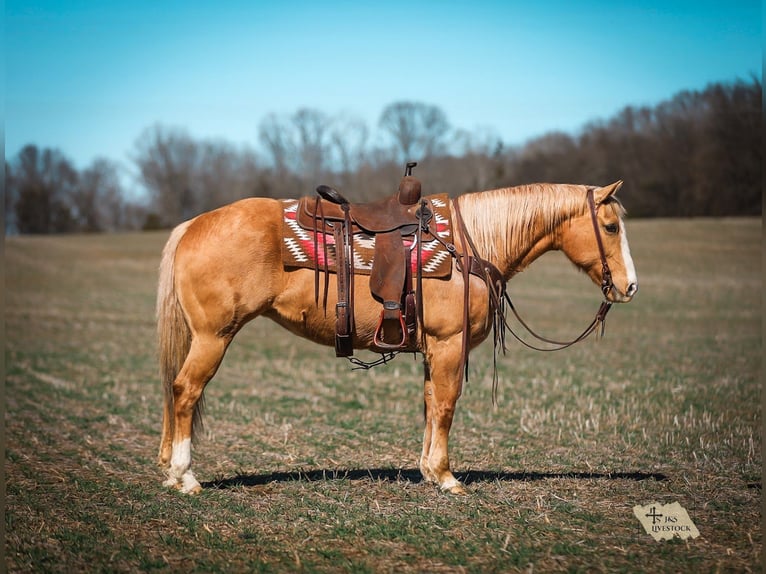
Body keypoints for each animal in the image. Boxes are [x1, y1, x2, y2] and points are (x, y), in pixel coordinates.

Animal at [157, 181, 638, 495]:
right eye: (611, 227)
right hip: (214, 337)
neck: (470, 246)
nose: (630, 286)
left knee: (174, 389)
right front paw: (447, 478)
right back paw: (185, 476)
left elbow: (429, 404)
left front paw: (427, 470)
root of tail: (191, 226)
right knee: (186, 391)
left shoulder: (433, 349)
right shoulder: (449, 344)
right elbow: (445, 406)